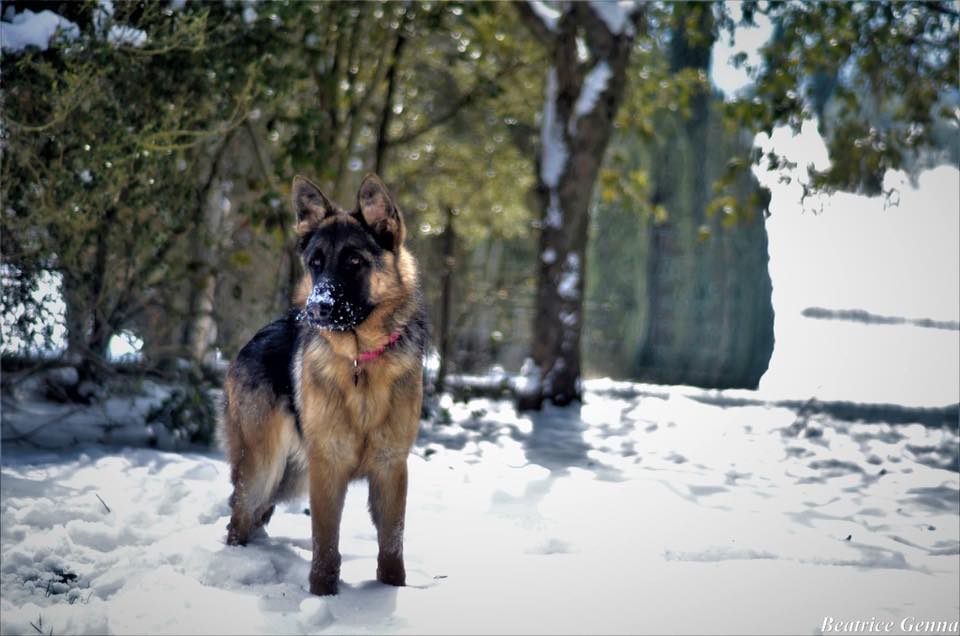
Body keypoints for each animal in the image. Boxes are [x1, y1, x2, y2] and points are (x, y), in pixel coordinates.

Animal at [223, 173, 426, 596]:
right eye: (315, 264)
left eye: (354, 262)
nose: (316, 308)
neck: (360, 363)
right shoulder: (327, 467)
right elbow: (326, 541)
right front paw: (322, 593)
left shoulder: (390, 468)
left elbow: (391, 543)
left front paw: (392, 592)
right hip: (264, 468)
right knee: (238, 517)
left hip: (291, 474)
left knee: (254, 516)